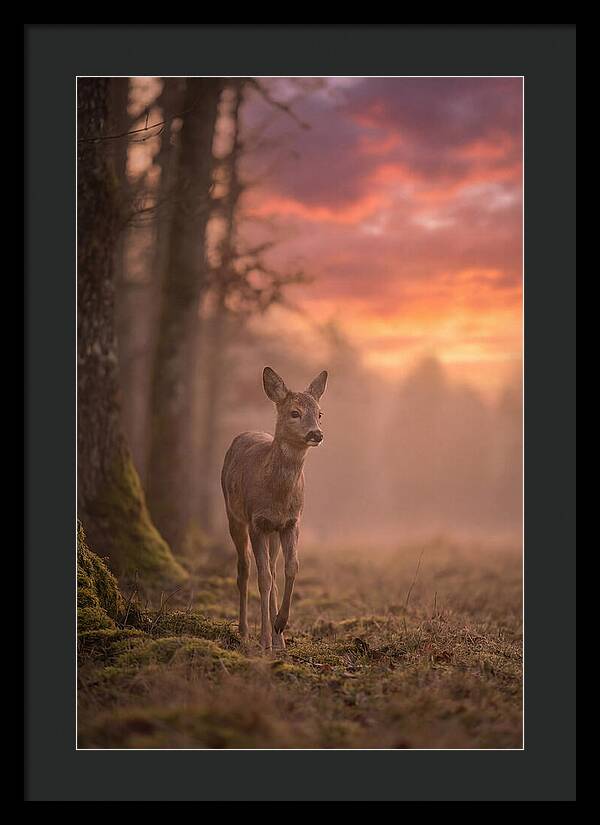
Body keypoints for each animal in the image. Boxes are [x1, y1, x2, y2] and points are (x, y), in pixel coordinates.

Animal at [221, 366, 328, 651]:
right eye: (295, 412)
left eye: (320, 413)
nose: (316, 434)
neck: (277, 497)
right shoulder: (257, 522)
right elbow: (264, 579)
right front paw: (264, 640)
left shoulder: (292, 522)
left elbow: (291, 568)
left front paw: (280, 624)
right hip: (234, 515)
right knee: (245, 568)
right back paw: (245, 631)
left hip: (273, 533)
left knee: (271, 565)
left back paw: (279, 639)